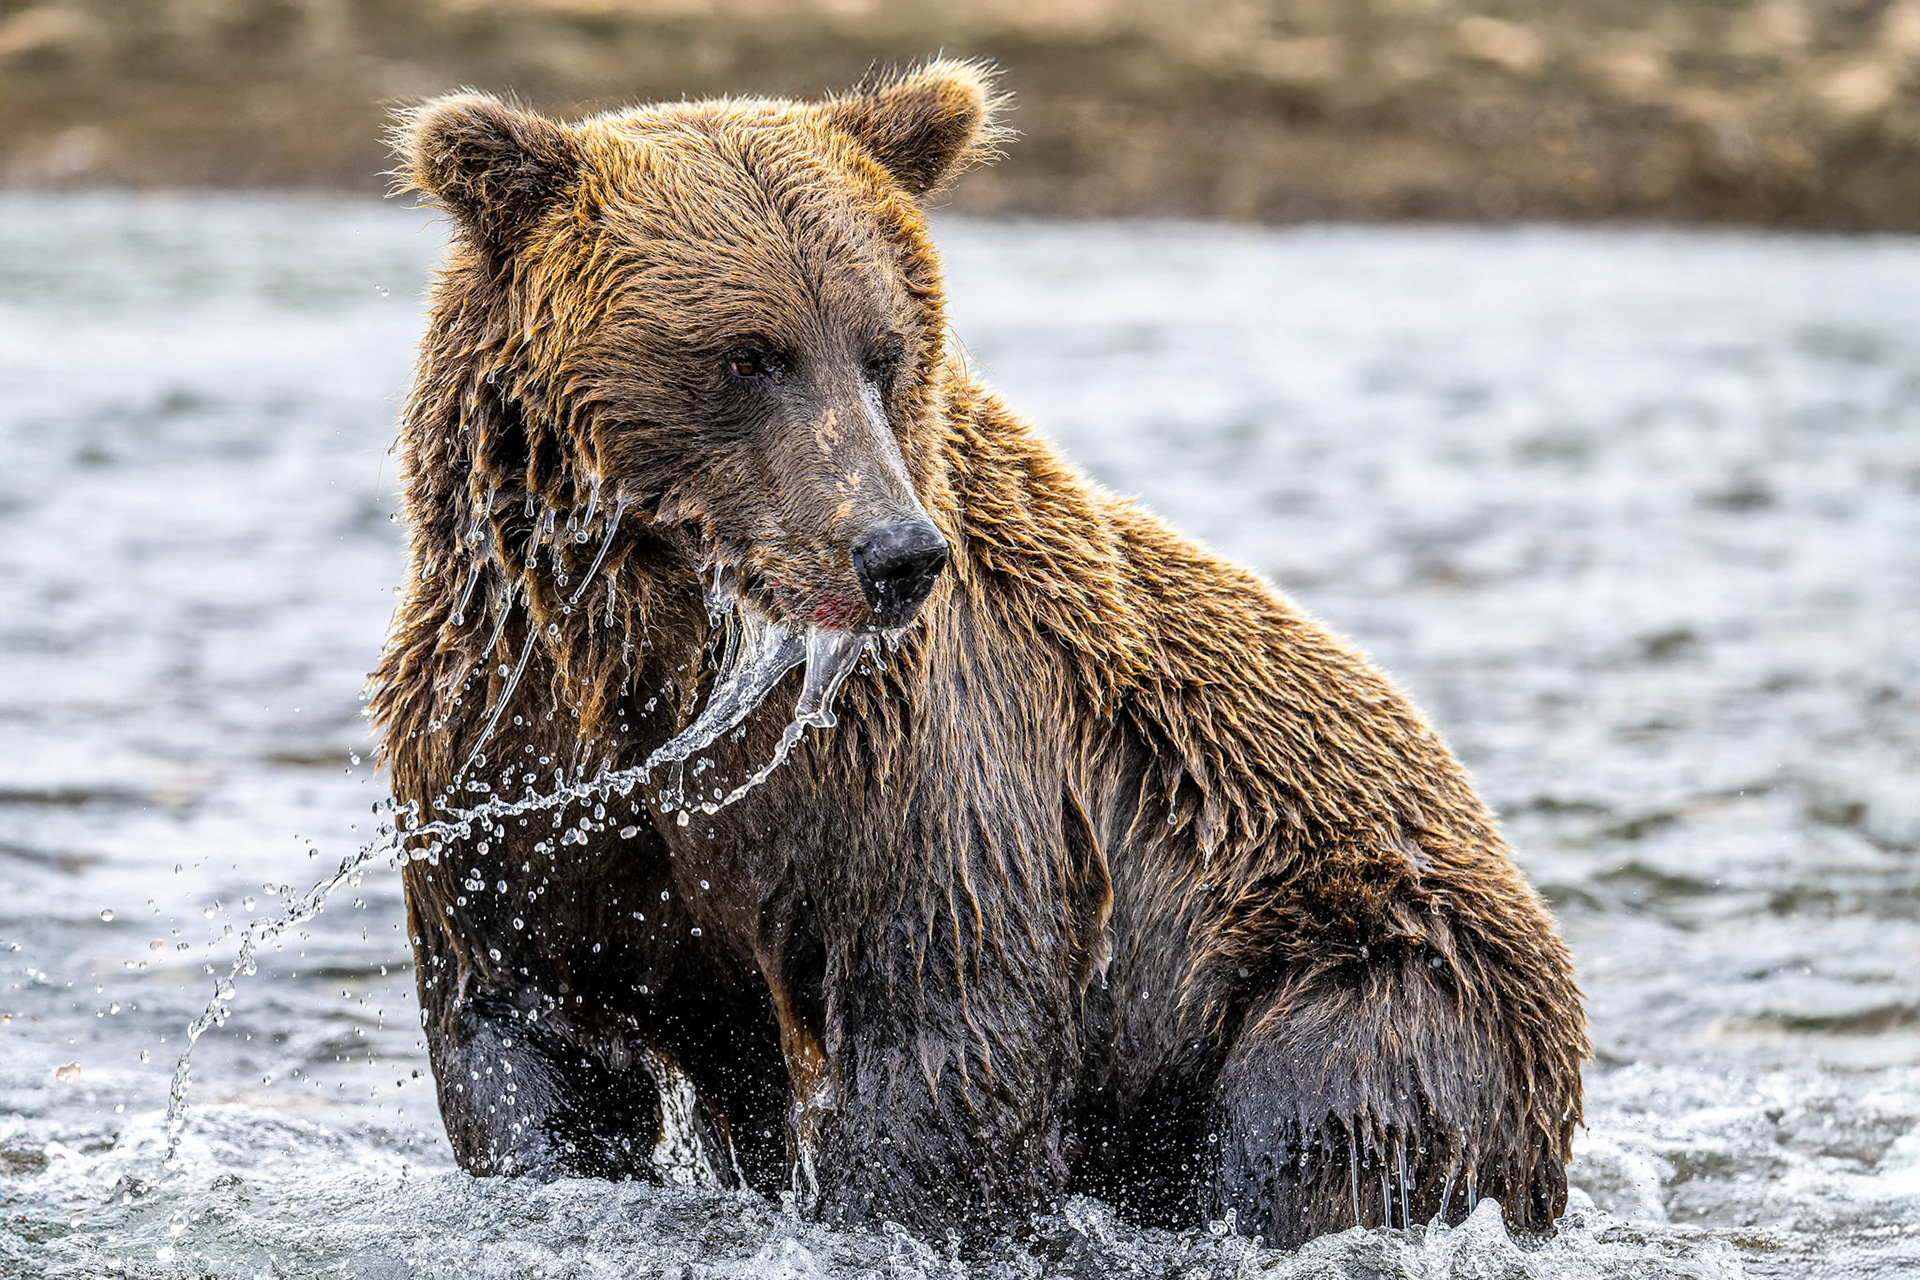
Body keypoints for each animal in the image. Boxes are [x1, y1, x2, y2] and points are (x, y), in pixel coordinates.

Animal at [368, 59, 1587, 1249]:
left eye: (883, 348)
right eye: (748, 356)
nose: (896, 553)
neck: (669, 642)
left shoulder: (911, 754)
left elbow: (944, 1021)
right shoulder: (506, 747)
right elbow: (523, 1032)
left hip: (1376, 971)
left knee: (1323, 1124)